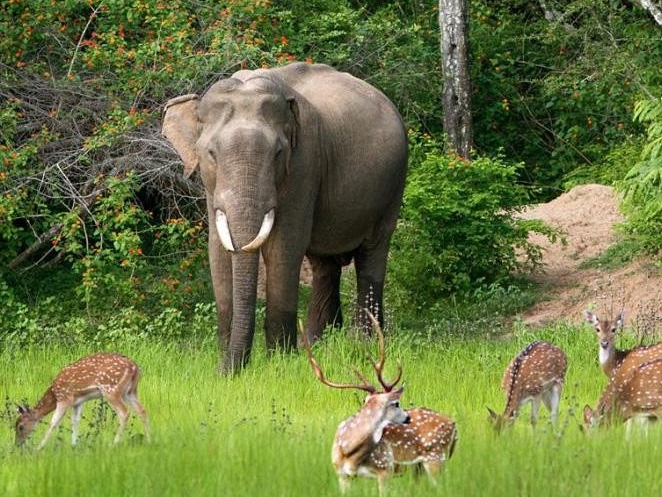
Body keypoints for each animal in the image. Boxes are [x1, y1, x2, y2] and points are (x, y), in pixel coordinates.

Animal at [15, 350, 150, 448]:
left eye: (20, 426)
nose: (17, 444)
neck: (54, 394)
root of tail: (135, 368)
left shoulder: (64, 398)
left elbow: (53, 423)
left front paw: (39, 448)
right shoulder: (78, 402)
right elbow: (75, 421)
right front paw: (74, 445)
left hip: (111, 389)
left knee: (124, 413)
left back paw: (114, 443)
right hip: (130, 392)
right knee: (142, 410)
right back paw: (150, 440)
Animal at [162, 62, 410, 372]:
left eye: (278, 153)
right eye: (211, 153)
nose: (227, 370)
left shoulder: (304, 164)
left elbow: (284, 247)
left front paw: (279, 362)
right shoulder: (211, 186)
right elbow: (217, 250)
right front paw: (226, 362)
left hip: (393, 185)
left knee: (372, 254)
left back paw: (362, 344)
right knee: (324, 265)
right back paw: (317, 343)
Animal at [304, 312, 460, 494]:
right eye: (397, 403)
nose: (407, 418)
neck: (348, 453)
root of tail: (454, 425)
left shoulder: (385, 467)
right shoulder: (342, 474)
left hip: (435, 456)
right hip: (420, 466)